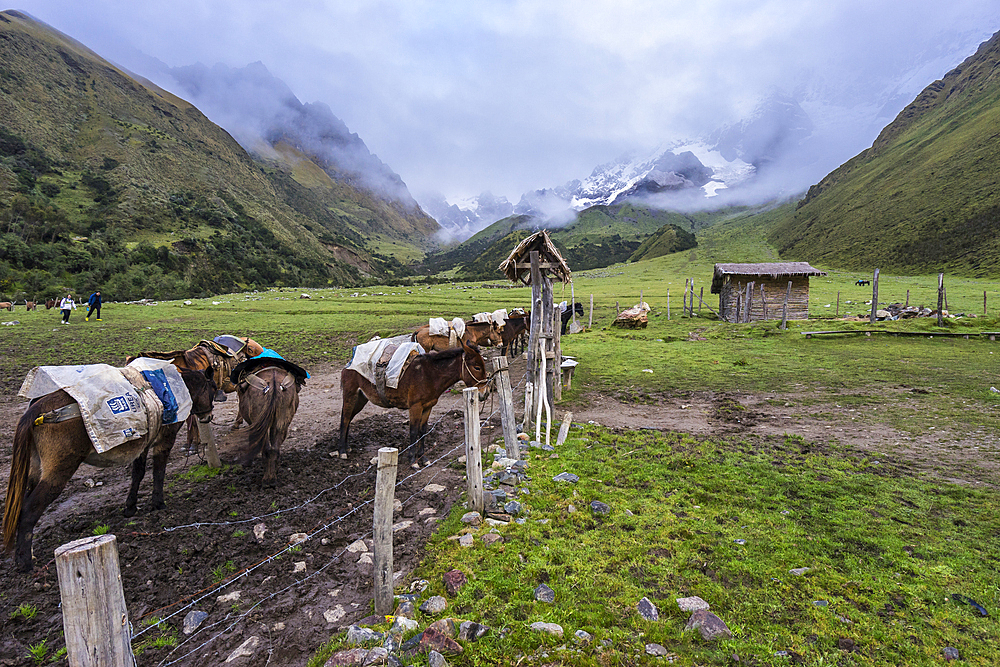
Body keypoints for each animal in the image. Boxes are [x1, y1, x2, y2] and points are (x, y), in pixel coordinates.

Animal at [2, 368, 215, 572]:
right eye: (211, 389)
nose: (209, 416)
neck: (174, 388)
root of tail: (36, 410)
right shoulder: (164, 441)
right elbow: (159, 472)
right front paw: (158, 503)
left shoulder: (143, 446)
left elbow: (138, 474)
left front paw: (130, 507)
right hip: (57, 473)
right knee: (29, 511)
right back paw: (25, 564)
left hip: (35, 471)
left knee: (23, 505)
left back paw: (27, 555)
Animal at [232, 358, 306, 488]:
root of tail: (274, 384)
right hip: (282, 422)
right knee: (274, 448)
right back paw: (272, 477)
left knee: (266, 448)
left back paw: (267, 480)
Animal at [338, 340, 490, 464]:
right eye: (477, 367)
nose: (485, 393)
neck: (430, 374)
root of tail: (348, 365)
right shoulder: (415, 407)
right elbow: (413, 431)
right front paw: (412, 460)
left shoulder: (428, 407)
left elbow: (422, 431)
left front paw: (423, 458)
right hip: (351, 395)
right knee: (345, 419)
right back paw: (342, 451)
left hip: (361, 398)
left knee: (349, 419)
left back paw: (347, 447)